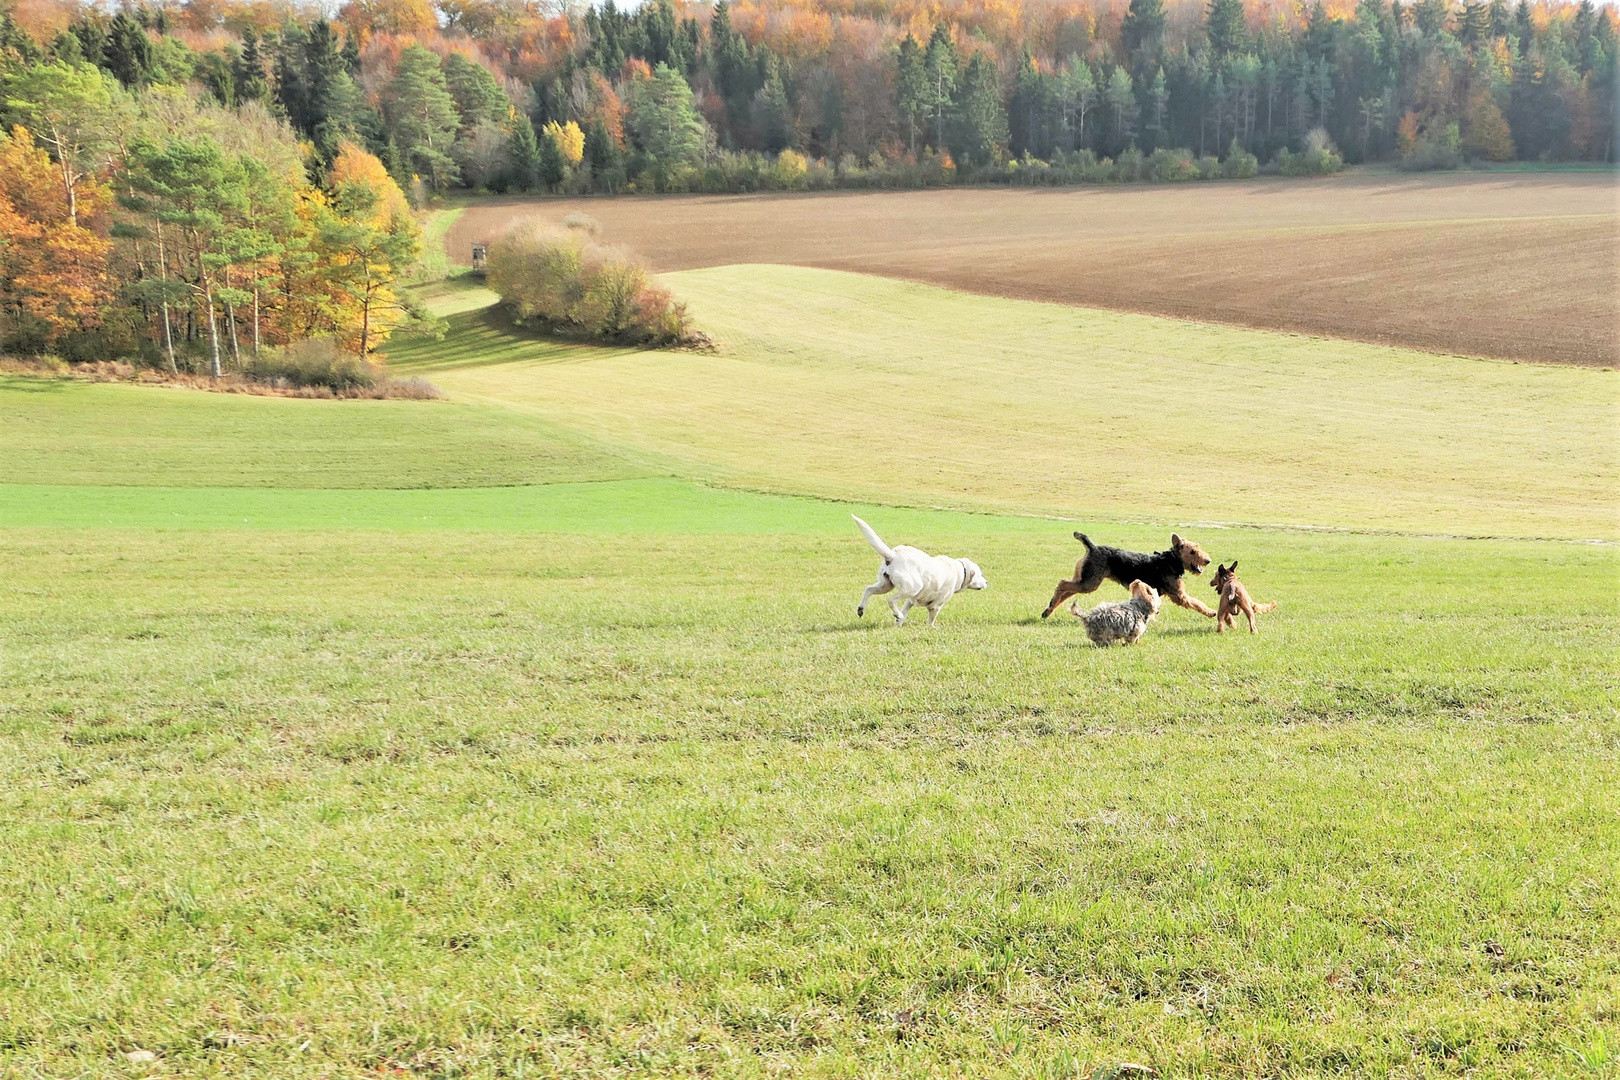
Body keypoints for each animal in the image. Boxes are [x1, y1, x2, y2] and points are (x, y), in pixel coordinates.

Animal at [848, 514, 984, 625]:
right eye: (980, 574)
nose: (987, 582)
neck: (960, 570)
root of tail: (893, 555)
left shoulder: (911, 601)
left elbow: (905, 613)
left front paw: (898, 624)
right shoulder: (936, 605)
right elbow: (930, 620)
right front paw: (931, 628)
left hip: (885, 585)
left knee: (868, 589)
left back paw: (861, 609)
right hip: (912, 587)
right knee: (890, 600)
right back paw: (896, 613)